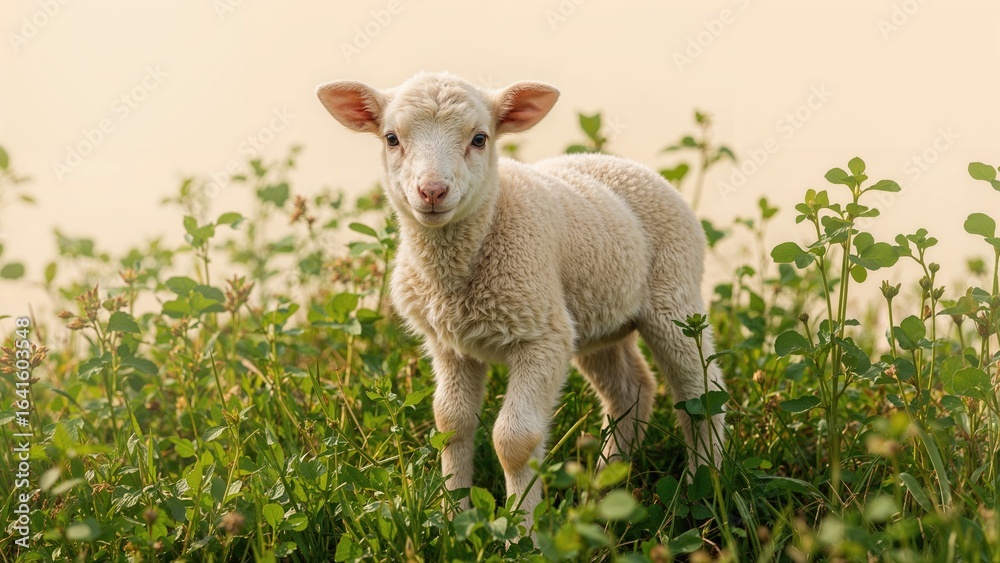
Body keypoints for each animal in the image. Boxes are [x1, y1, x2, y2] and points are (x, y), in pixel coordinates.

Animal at [316, 72, 726, 533]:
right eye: (391, 138)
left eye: (480, 138)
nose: (432, 191)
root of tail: (626, 165)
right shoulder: (450, 345)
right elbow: (451, 425)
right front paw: (453, 519)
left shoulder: (541, 338)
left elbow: (514, 440)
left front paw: (521, 530)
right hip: (593, 318)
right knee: (632, 389)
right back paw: (604, 487)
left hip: (674, 295)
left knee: (701, 396)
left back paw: (701, 488)